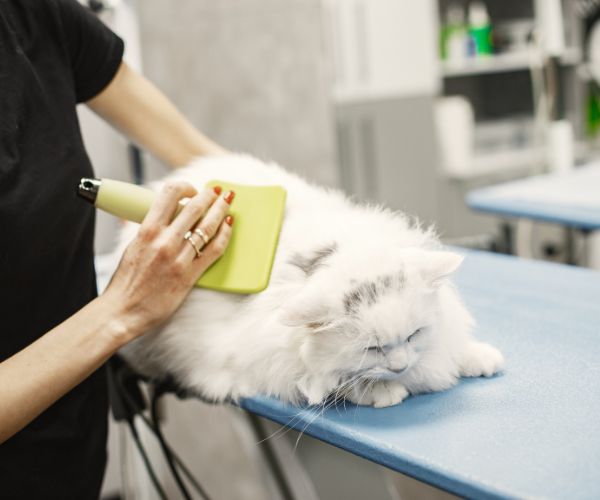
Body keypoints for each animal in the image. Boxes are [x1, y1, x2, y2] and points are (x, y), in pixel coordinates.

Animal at [115, 154, 504, 408]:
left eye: (414, 335)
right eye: (372, 349)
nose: (400, 367)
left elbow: (451, 344)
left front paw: (480, 358)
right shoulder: (261, 357)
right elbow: (333, 382)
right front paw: (386, 393)